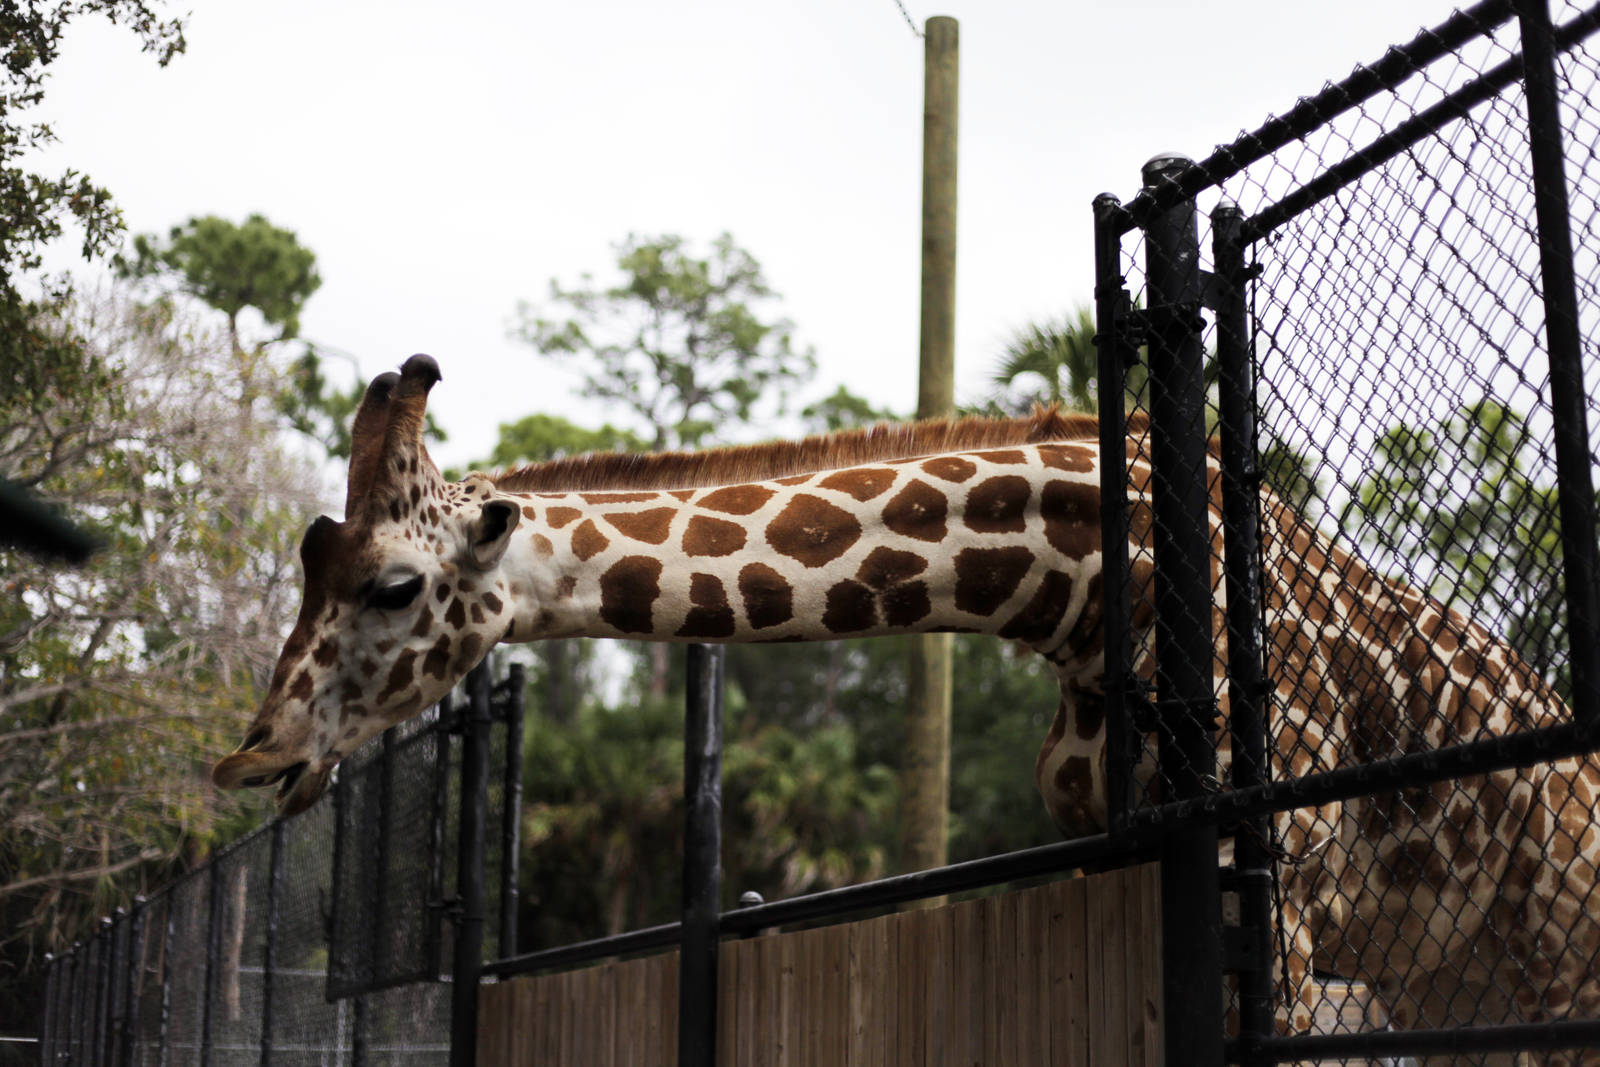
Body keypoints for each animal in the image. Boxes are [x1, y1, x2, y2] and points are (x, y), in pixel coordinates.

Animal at [212, 355, 1600, 1056]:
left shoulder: (1283, 889)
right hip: (1452, 978)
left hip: (1549, 948)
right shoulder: (1113, 852)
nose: (255, 752)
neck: (1081, 589)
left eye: (393, 583)